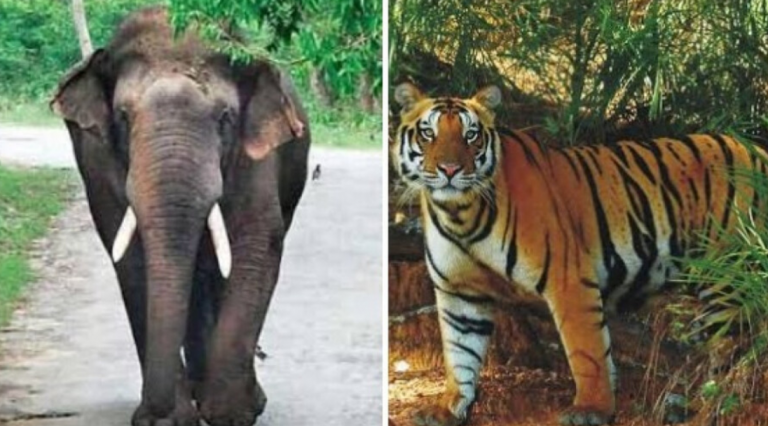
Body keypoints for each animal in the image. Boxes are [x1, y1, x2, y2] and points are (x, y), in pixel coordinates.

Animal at [51, 7, 310, 426]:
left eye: (225, 118)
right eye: (123, 117)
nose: (157, 408)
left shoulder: (257, 156)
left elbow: (254, 247)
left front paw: (232, 414)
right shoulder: (97, 160)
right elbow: (131, 259)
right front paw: (168, 419)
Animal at [391, 81, 768, 426]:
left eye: (471, 136)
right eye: (428, 133)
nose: (450, 170)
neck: (460, 214)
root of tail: (757, 151)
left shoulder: (569, 280)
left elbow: (587, 351)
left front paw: (591, 410)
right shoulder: (459, 293)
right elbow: (460, 353)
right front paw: (447, 408)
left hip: (728, 278)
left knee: (734, 352)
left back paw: (712, 406)